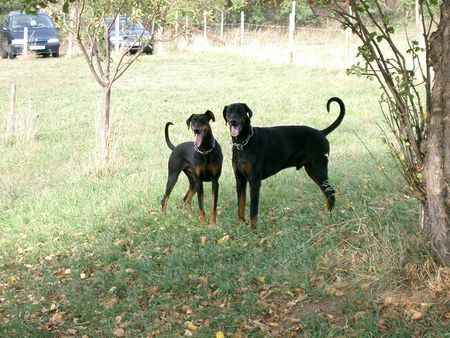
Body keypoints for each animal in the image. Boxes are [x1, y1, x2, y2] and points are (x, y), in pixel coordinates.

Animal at [223, 97, 346, 230]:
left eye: (240, 111)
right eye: (229, 111)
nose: (233, 121)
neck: (243, 143)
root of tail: (321, 132)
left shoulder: (254, 181)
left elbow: (253, 210)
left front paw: (253, 229)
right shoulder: (240, 180)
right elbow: (240, 206)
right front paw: (240, 226)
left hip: (319, 169)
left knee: (330, 193)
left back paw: (329, 218)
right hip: (312, 170)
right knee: (327, 194)